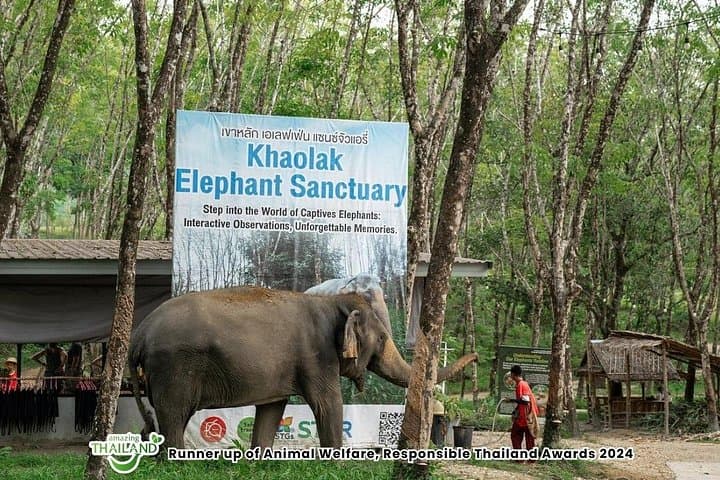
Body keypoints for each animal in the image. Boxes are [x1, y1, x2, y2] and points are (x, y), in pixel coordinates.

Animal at [129, 286, 477, 449]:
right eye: (380, 338)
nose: (474, 356)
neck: (334, 302)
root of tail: (141, 332)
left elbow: (272, 409)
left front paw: (257, 462)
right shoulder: (317, 356)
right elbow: (328, 403)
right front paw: (336, 464)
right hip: (174, 367)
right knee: (174, 416)